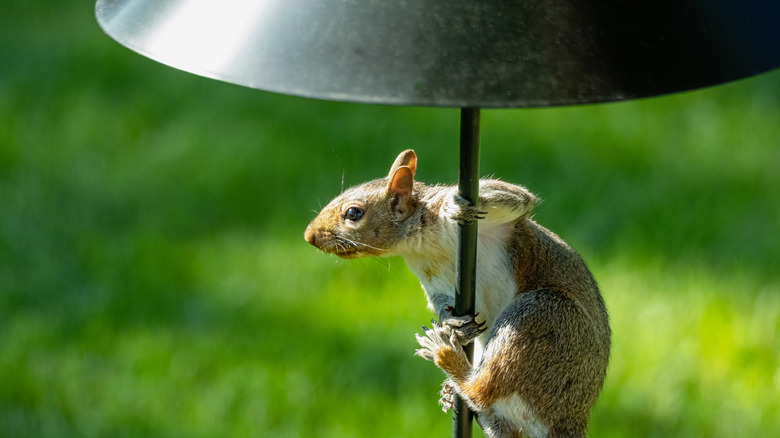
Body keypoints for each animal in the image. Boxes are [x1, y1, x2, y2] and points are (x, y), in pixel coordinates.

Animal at [304, 149, 608, 436]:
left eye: (353, 213)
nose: (309, 236)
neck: (422, 243)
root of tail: (572, 419)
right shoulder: (433, 278)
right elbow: (441, 301)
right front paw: (452, 322)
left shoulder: (499, 221)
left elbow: (519, 198)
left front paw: (454, 205)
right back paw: (453, 388)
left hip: (544, 316)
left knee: (483, 390)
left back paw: (446, 356)